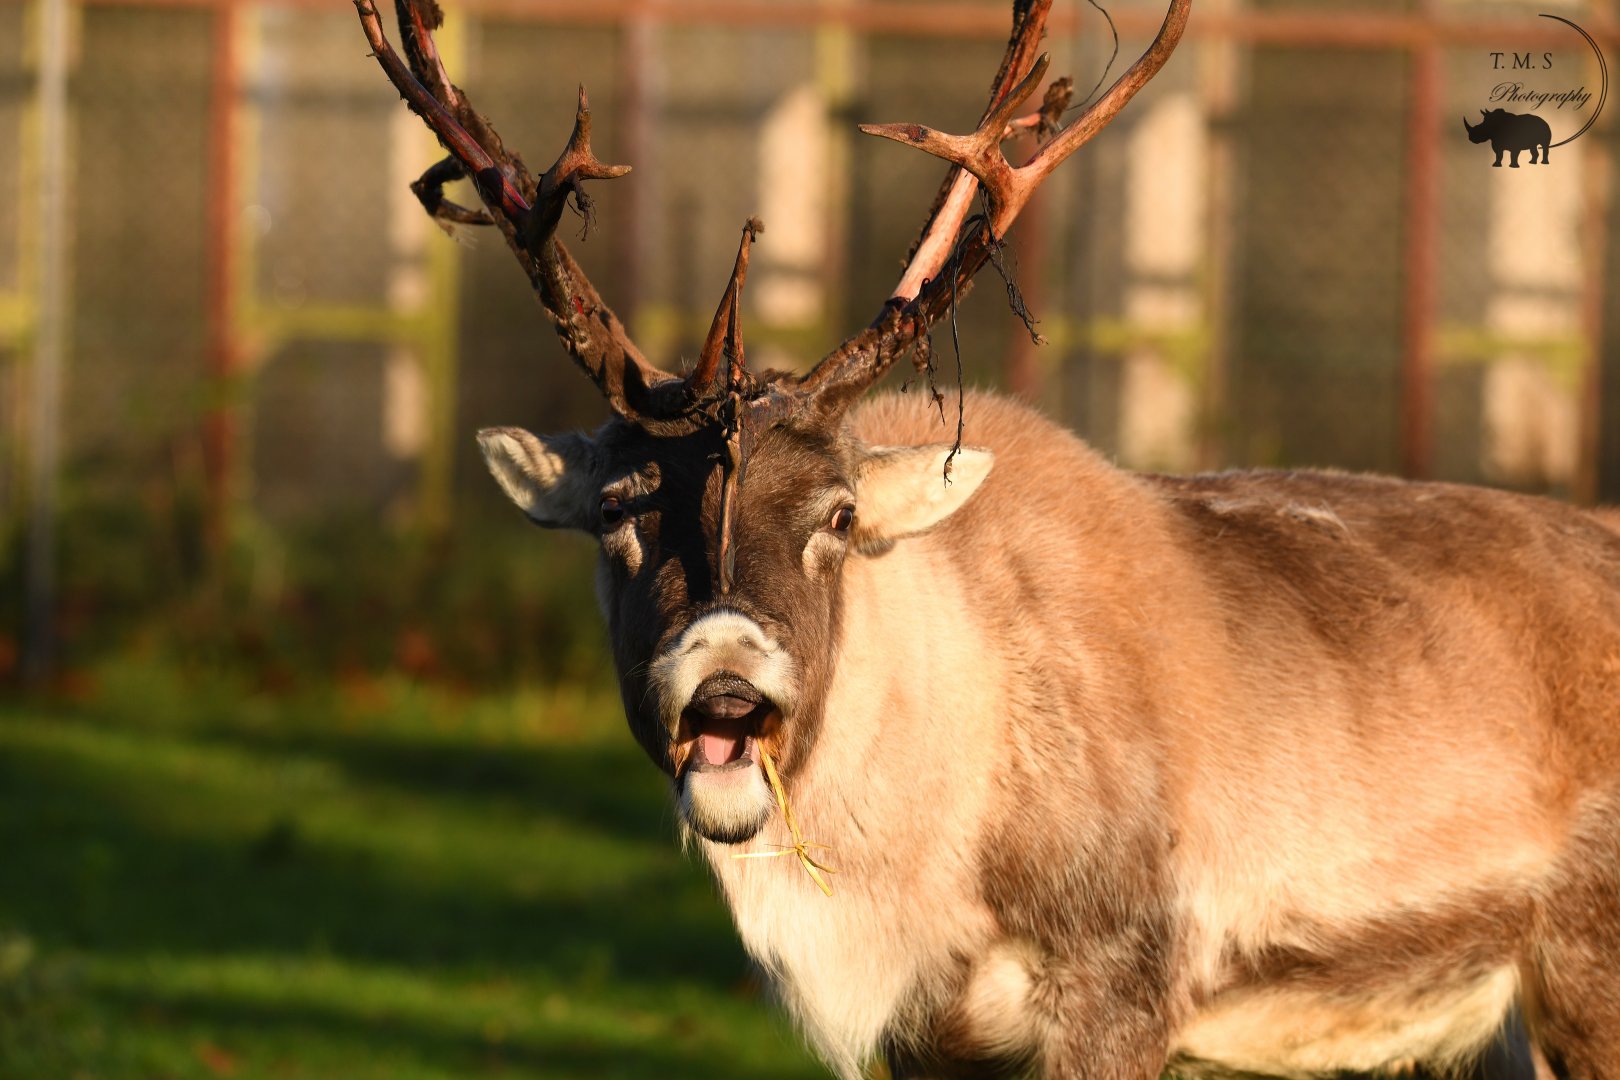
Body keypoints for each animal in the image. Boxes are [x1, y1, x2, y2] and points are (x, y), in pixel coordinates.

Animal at [355, 1, 1620, 1077]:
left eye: (840, 516)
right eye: (620, 510)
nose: (724, 679)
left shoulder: (1124, 986)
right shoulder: (934, 1036)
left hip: (1586, 979)